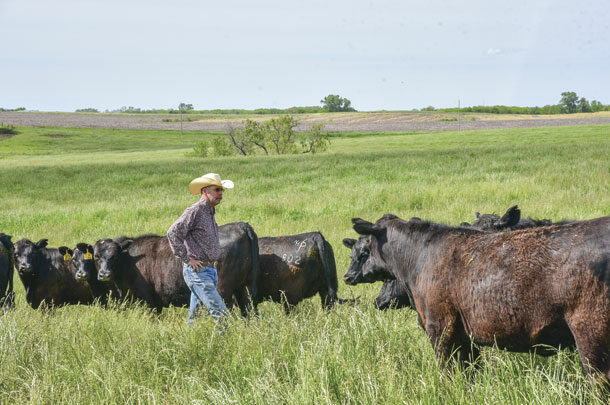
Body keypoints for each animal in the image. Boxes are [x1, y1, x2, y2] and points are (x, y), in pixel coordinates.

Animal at [94, 221, 258, 312]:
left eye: (114, 256)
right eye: (96, 256)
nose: (104, 274)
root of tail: (241, 225)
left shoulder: (148, 302)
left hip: (223, 292)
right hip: (243, 290)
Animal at [344, 215, 608, 382]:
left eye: (364, 252)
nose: (347, 276)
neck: (418, 257)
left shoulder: (440, 330)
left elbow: (449, 375)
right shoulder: (466, 338)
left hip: (592, 338)